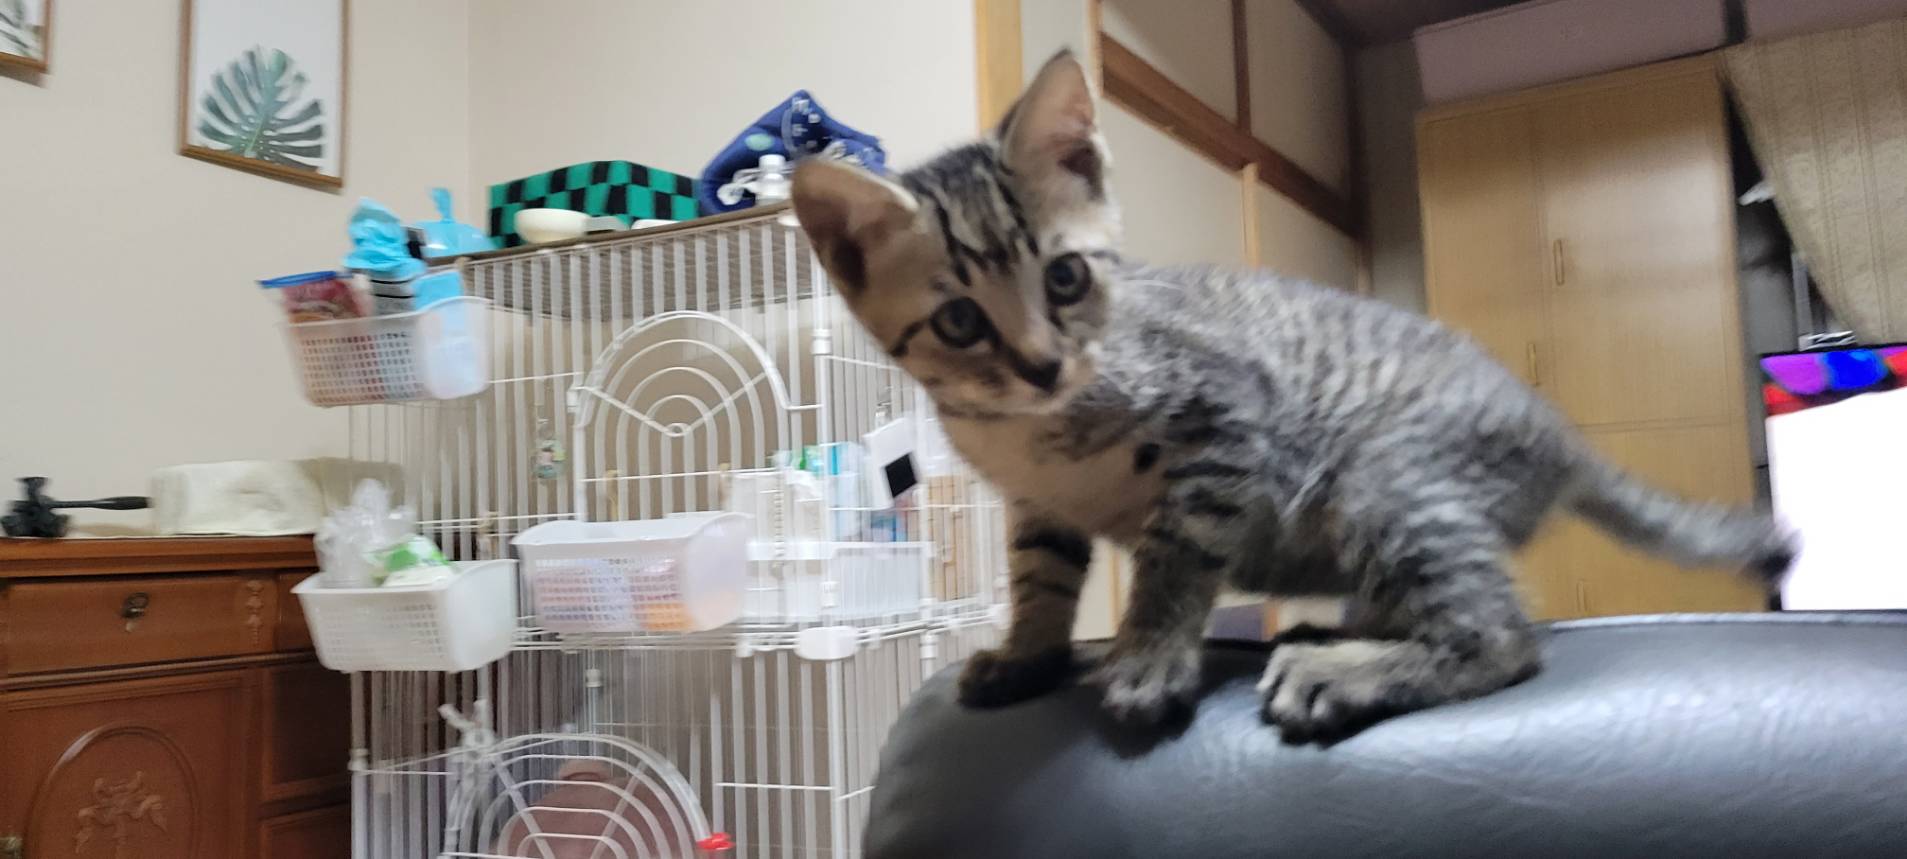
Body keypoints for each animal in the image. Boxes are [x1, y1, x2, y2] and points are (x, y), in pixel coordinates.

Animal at [789, 50, 1794, 742]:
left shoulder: (1226, 420)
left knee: (1499, 635)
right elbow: (1039, 575)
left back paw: (1343, 669)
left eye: (1065, 277)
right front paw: (1026, 653)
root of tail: (1554, 429)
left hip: (1388, 476)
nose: (1041, 365)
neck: (1029, 430)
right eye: (960, 320)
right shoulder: (1038, 503)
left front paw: (1148, 656)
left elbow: (1172, 556)